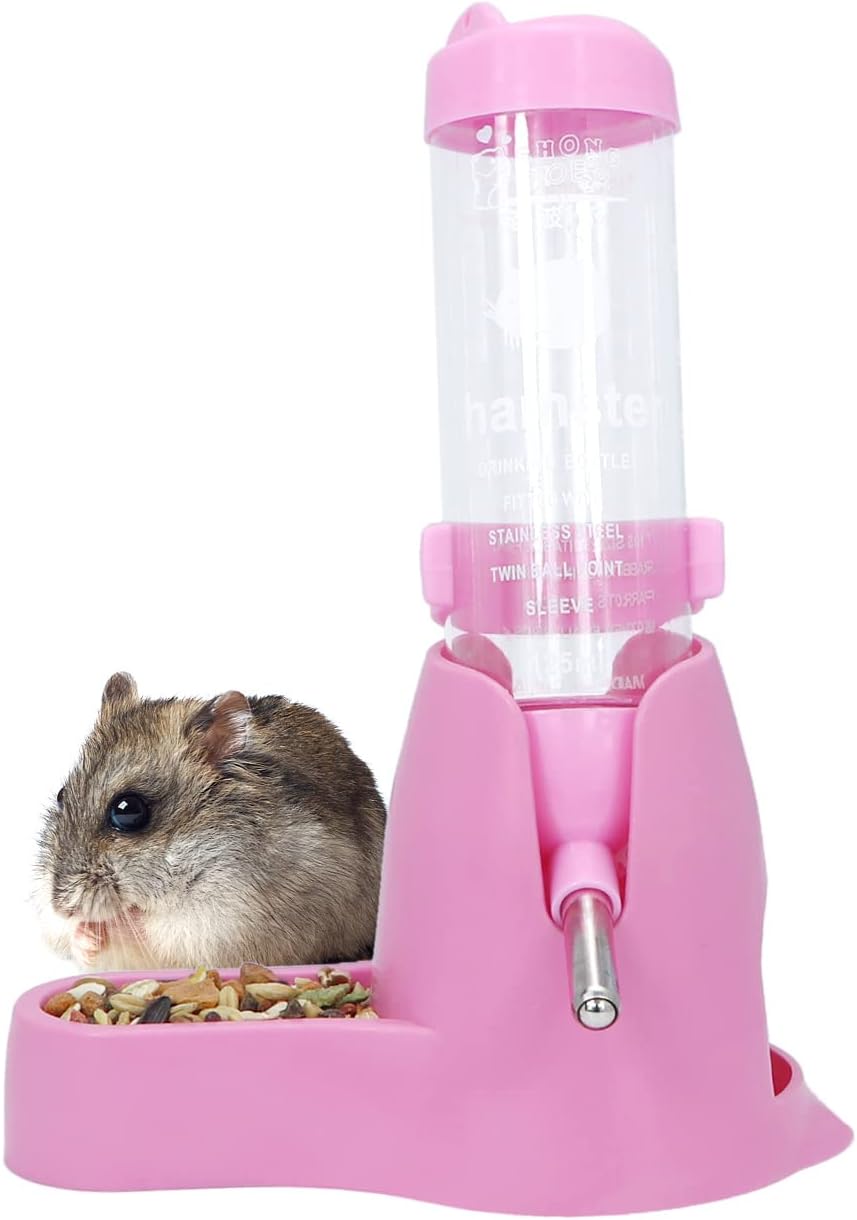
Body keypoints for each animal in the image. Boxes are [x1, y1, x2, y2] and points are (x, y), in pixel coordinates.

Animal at [36, 673, 386, 972]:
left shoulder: (221, 922)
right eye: (62, 795)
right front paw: (85, 934)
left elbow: (153, 931)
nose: (61, 907)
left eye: (128, 810)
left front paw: (118, 923)